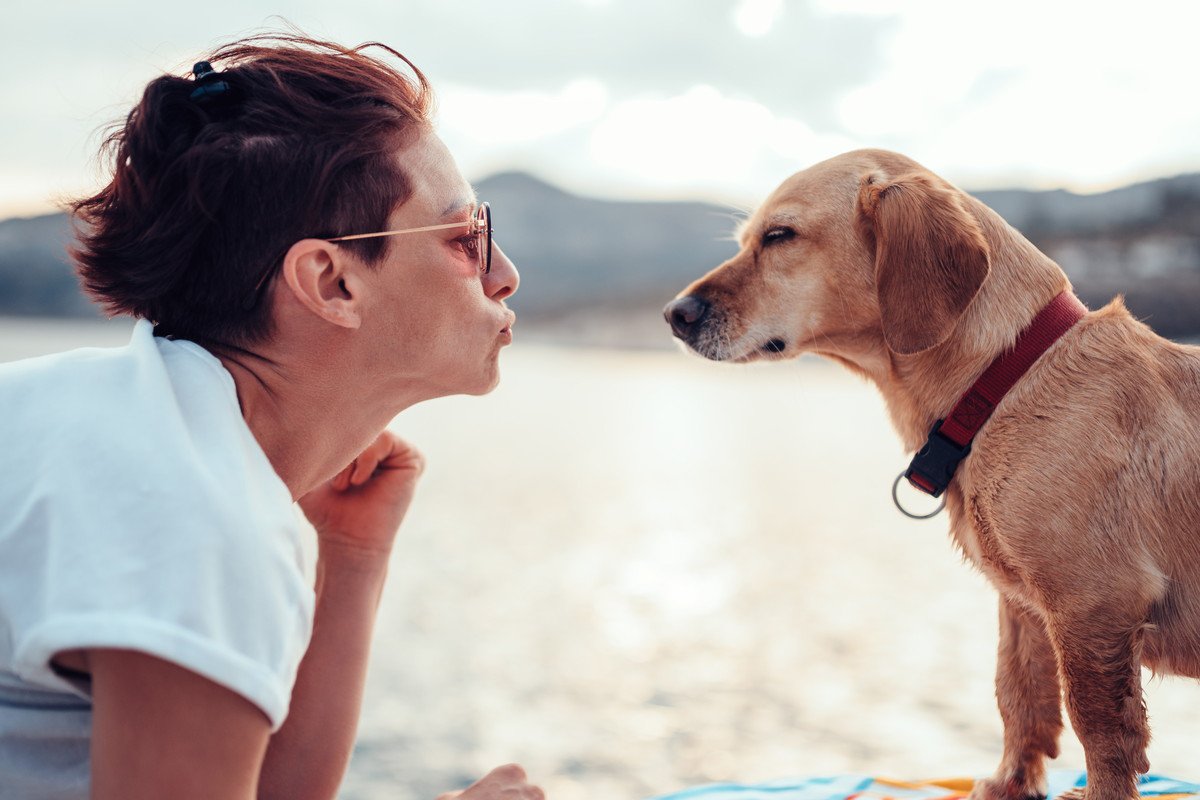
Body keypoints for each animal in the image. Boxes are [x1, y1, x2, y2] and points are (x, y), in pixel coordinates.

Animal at [667, 149, 1200, 800]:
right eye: (749, 238)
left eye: (779, 235)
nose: (674, 314)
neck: (1004, 378)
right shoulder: (1023, 608)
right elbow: (1018, 694)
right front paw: (1009, 784)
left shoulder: (1092, 603)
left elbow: (1100, 730)